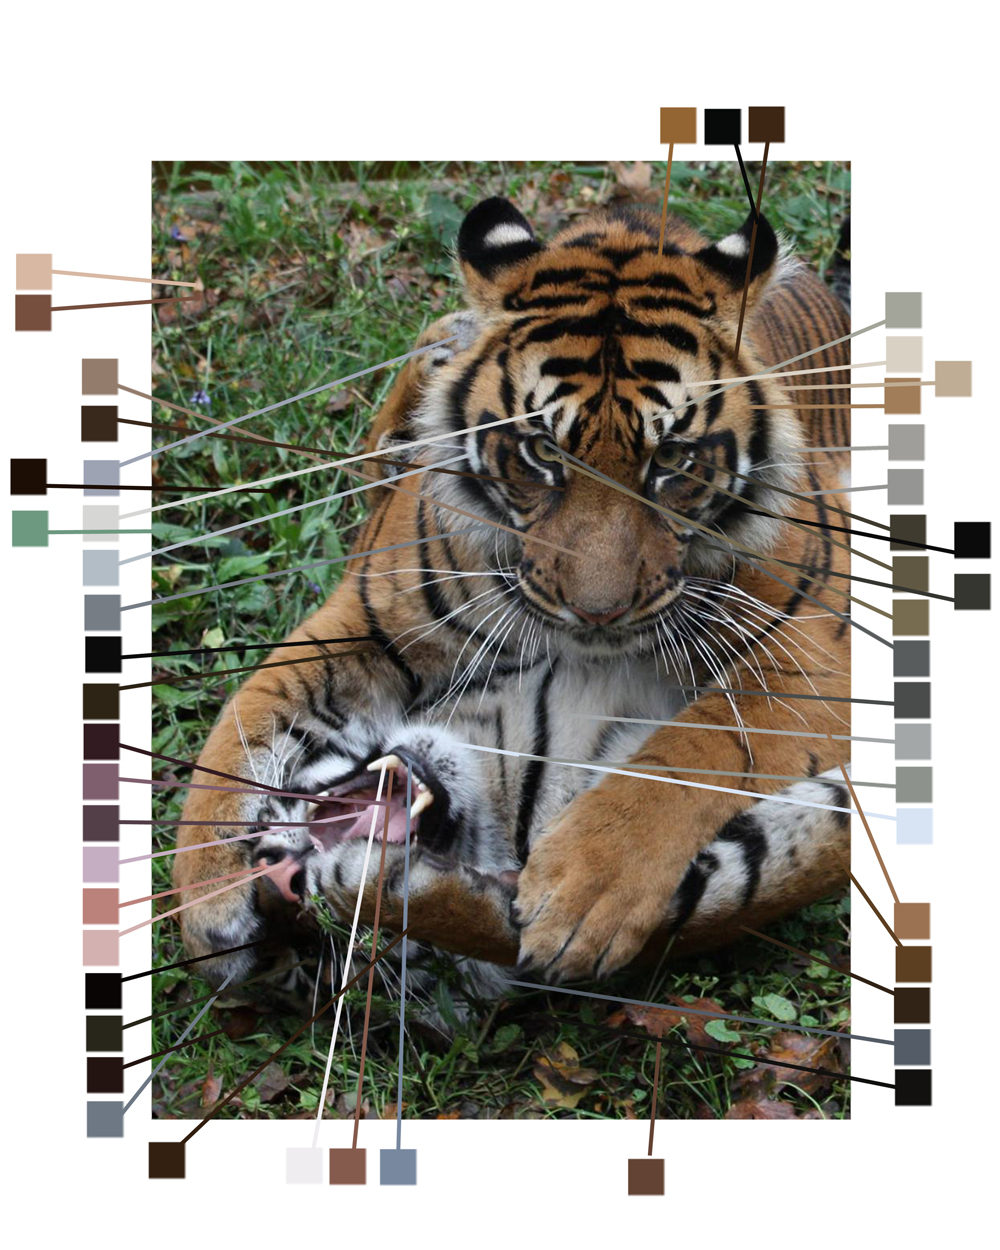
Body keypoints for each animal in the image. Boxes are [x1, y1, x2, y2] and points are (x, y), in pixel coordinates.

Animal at [173, 194, 855, 998]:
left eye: (672, 460)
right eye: (538, 452)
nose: (599, 611)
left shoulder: (817, 652)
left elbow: (696, 748)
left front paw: (583, 887)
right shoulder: (369, 619)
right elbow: (245, 719)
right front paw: (208, 902)